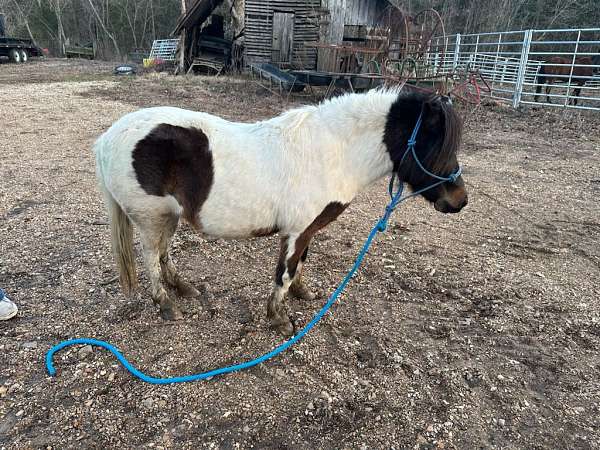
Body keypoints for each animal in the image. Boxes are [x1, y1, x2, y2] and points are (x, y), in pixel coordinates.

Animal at [95, 89, 468, 334]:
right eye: (436, 145)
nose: (460, 200)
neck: (333, 151)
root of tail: (107, 138)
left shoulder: (307, 228)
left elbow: (300, 263)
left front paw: (303, 293)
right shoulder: (297, 230)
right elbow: (284, 272)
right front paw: (279, 317)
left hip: (169, 217)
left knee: (164, 253)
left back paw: (183, 288)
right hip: (150, 219)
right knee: (150, 257)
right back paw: (166, 304)